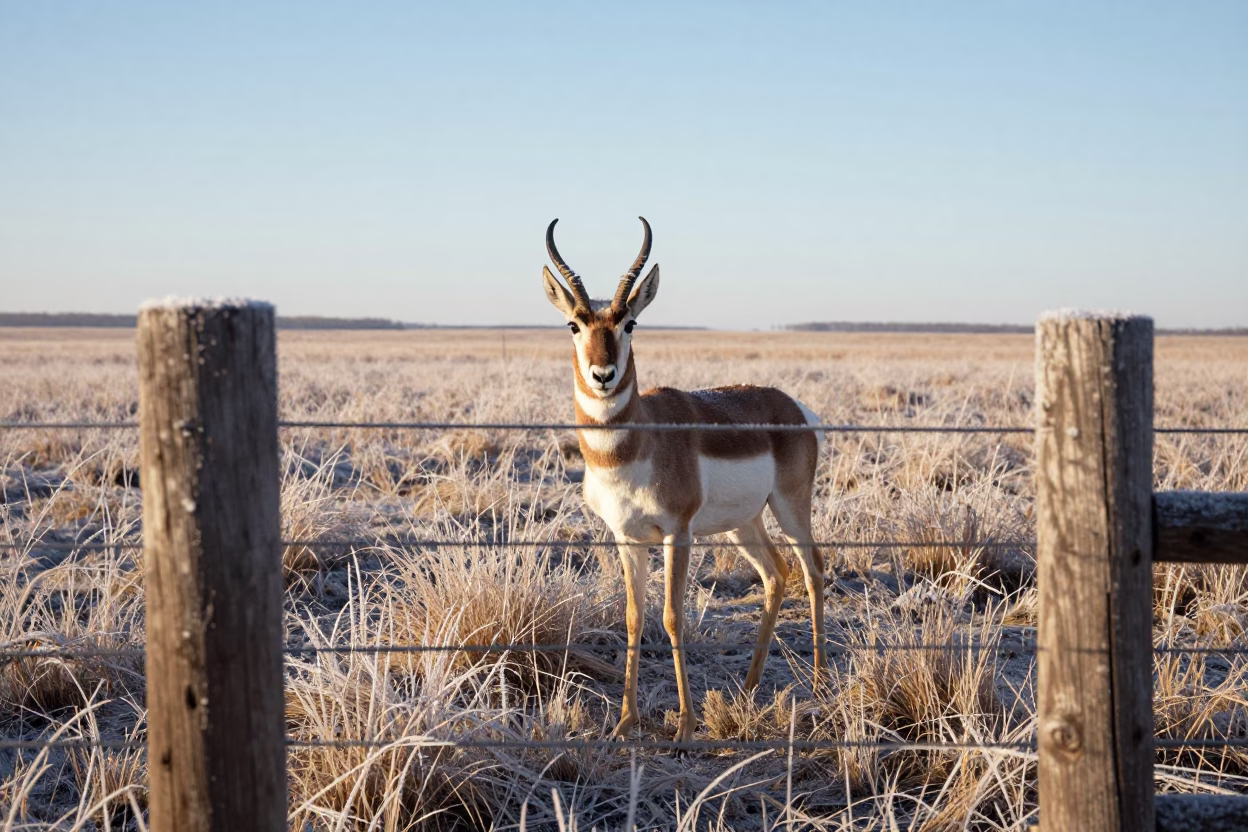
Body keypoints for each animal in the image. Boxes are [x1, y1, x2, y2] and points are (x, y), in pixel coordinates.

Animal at [541, 217, 827, 744]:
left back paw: (816, 682)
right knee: (776, 573)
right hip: (744, 524)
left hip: (790, 507)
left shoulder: (678, 534)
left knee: (812, 568)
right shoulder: (627, 538)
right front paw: (625, 721)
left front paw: (687, 726)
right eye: (574, 324)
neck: (635, 445)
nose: (603, 374)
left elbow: (673, 618)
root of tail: (795, 408)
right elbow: (634, 618)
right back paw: (749, 686)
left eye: (630, 323)